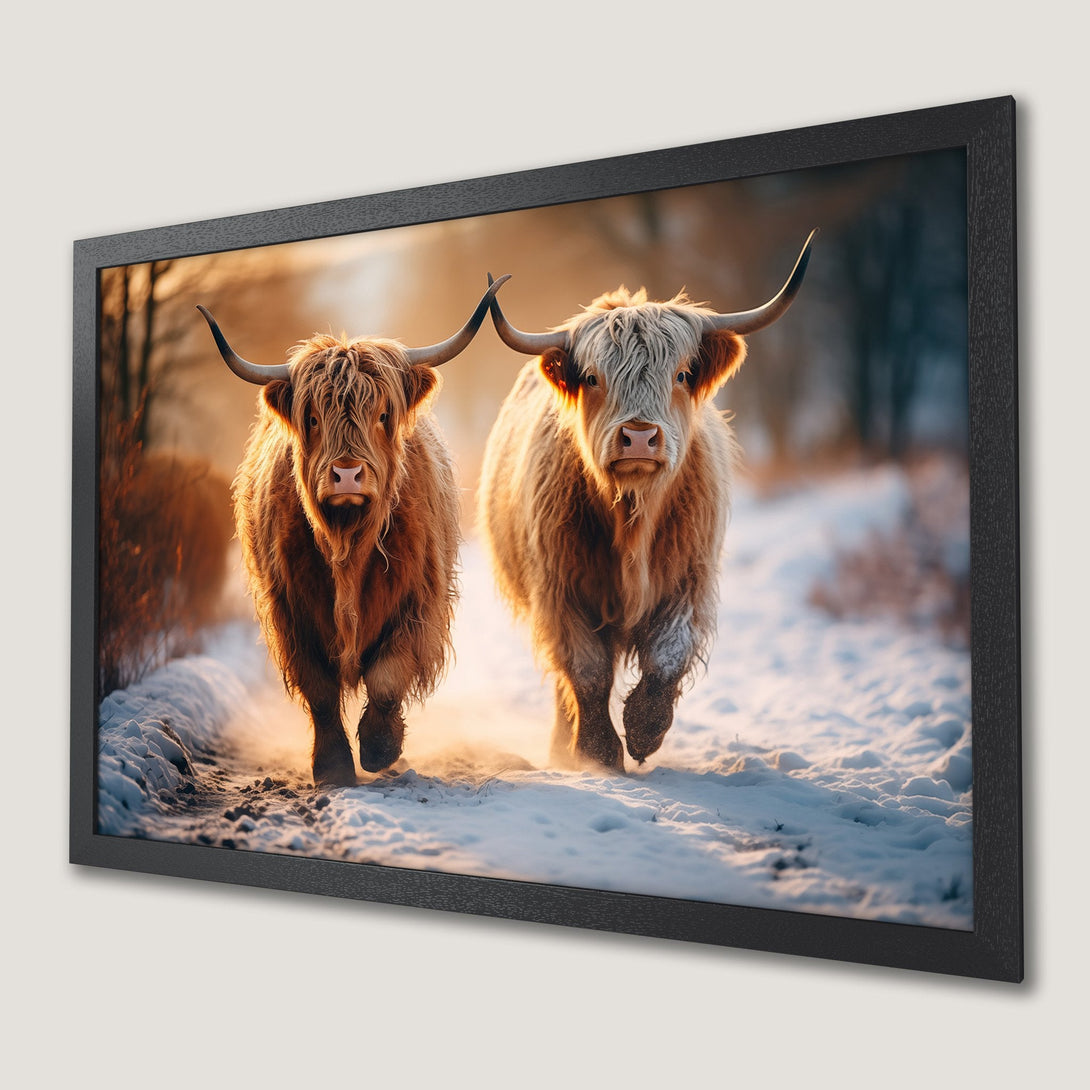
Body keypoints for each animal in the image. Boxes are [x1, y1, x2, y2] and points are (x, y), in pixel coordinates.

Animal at [198, 277, 509, 786]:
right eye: (313, 418)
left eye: (382, 415)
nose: (347, 474)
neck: (348, 543)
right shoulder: (291, 610)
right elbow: (320, 689)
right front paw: (332, 767)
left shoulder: (417, 600)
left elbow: (386, 677)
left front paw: (380, 749)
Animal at [478, 235, 815, 772]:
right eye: (593, 378)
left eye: (681, 374)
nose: (638, 437)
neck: (632, 516)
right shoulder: (560, 589)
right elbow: (586, 670)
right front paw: (597, 751)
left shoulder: (689, 578)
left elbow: (667, 655)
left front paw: (643, 731)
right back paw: (562, 746)